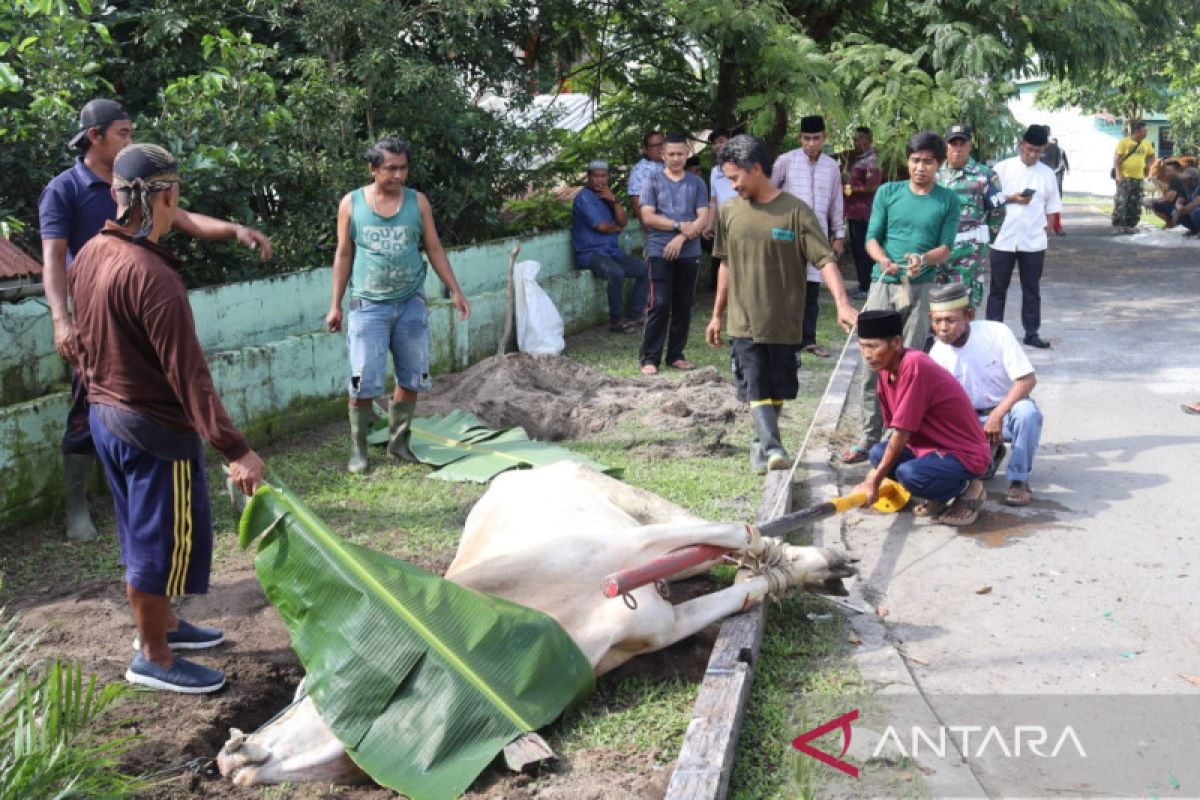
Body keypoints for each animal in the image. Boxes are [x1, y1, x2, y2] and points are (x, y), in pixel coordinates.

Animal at [218, 462, 854, 786]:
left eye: (305, 692)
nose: (230, 757)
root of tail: (522, 469)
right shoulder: (662, 622)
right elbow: (743, 589)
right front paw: (796, 571)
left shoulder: (626, 546)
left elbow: (738, 533)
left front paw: (810, 558)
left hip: (641, 504)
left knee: (718, 532)